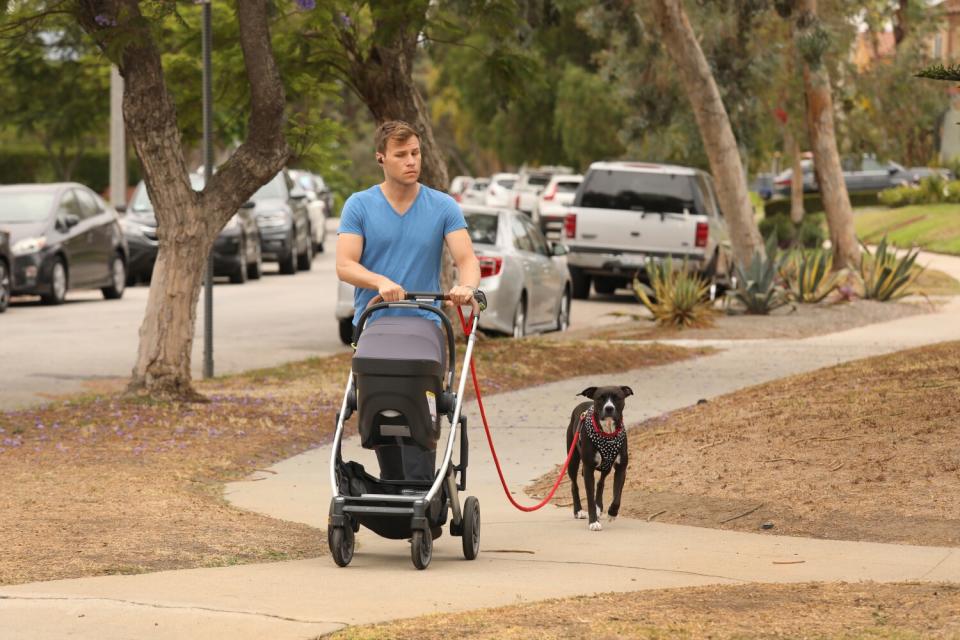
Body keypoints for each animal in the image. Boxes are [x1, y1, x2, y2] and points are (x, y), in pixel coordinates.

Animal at [564, 384, 632, 528]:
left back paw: (599, 507)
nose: (609, 408)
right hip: (572, 460)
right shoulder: (588, 469)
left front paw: (612, 513)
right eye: (600, 398)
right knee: (574, 485)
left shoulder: (621, 468)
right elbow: (589, 498)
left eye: (618, 397)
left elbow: (617, 496)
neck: (608, 434)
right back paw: (578, 511)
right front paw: (593, 521)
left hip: (607, 466)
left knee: (601, 483)